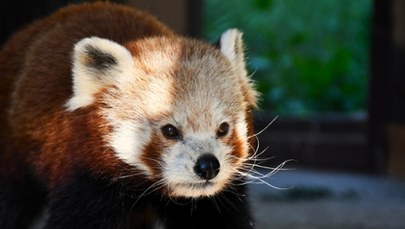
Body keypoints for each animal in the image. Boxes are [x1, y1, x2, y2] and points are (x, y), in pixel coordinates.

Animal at [0, 2, 258, 229]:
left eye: (223, 128)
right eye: (170, 130)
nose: (208, 166)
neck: (146, 187)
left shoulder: (213, 199)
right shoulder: (85, 175)